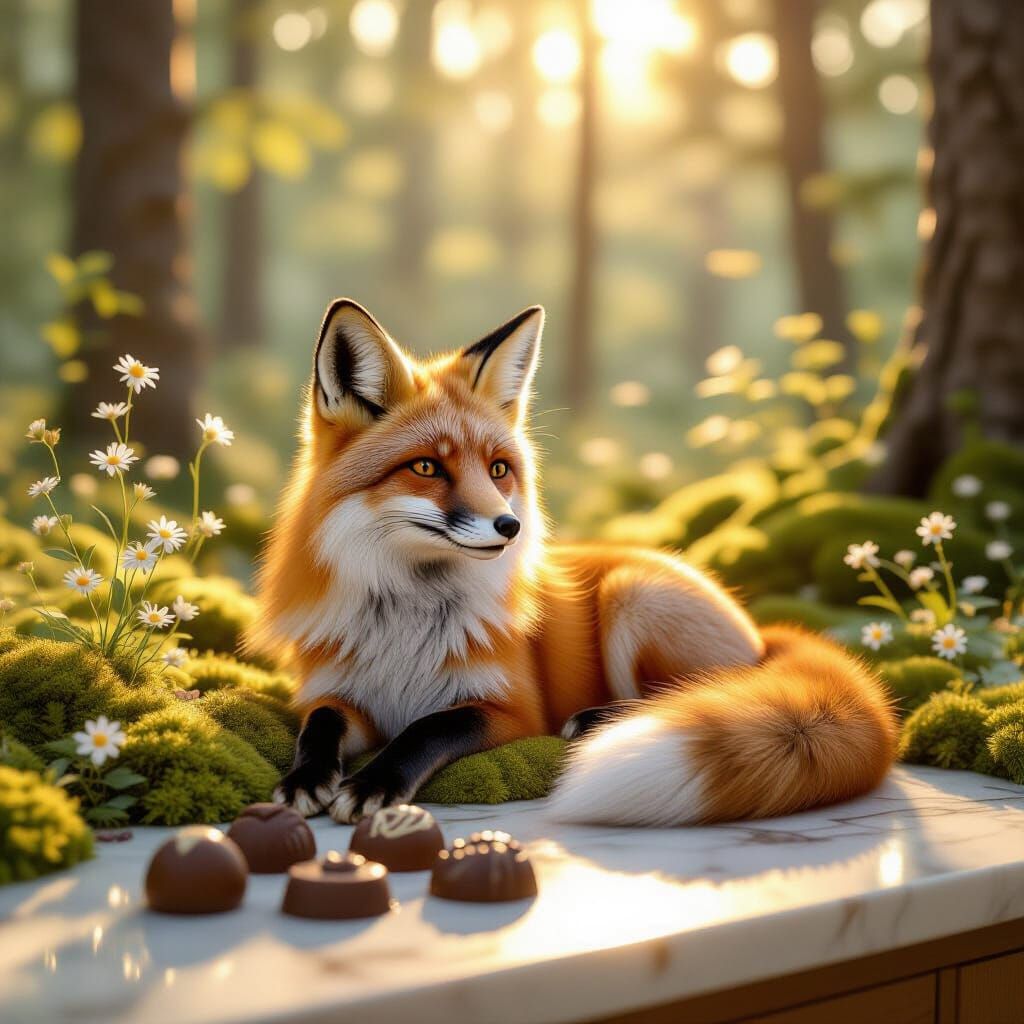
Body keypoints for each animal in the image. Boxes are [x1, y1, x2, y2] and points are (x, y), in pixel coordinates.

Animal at [247, 298, 897, 827]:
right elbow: (319, 721)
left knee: (704, 689)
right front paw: (306, 777)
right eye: (427, 467)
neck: (405, 626)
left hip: (633, 596)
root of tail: (762, 630)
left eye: (499, 470)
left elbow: (427, 727)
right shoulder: (342, 693)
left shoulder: (511, 709)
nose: (509, 527)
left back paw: (599, 720)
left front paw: (375, 783)